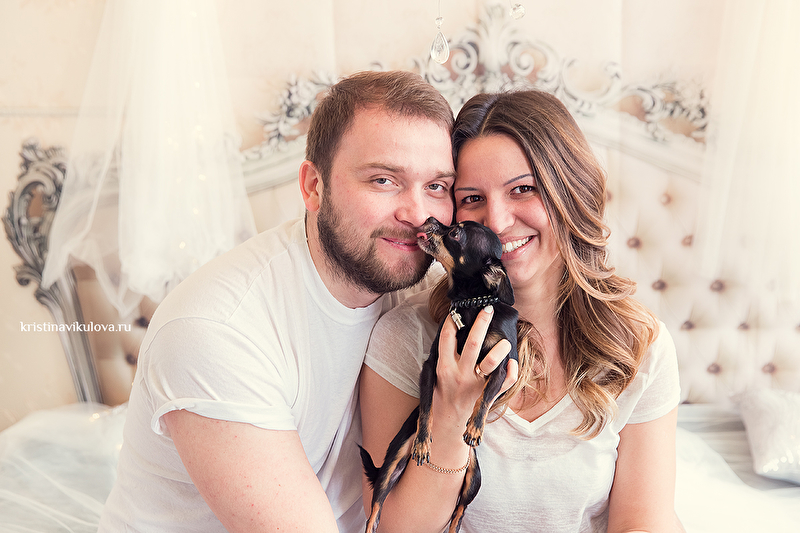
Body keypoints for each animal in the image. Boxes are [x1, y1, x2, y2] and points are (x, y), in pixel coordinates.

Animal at [360, 217, 519, 533]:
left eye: (455, 233)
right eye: (452, 223)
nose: (432, 219)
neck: (472, 305)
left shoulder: (502, 365)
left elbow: (485, 396)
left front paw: (475, 426)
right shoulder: (431, 367)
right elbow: (428, 405)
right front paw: (423, 440)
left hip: (474, 478)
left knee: (460, 509)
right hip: (393, 460)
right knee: (377, 503)